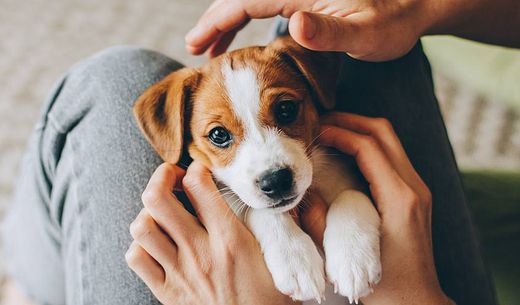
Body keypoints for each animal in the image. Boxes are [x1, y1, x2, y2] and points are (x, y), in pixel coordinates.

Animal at [134, 36, 382, 302]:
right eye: (218, 134)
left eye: (286, 109)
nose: (276, 182)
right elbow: (259, 211)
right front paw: (295, 260)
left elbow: (351, 194)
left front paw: (353, 258)